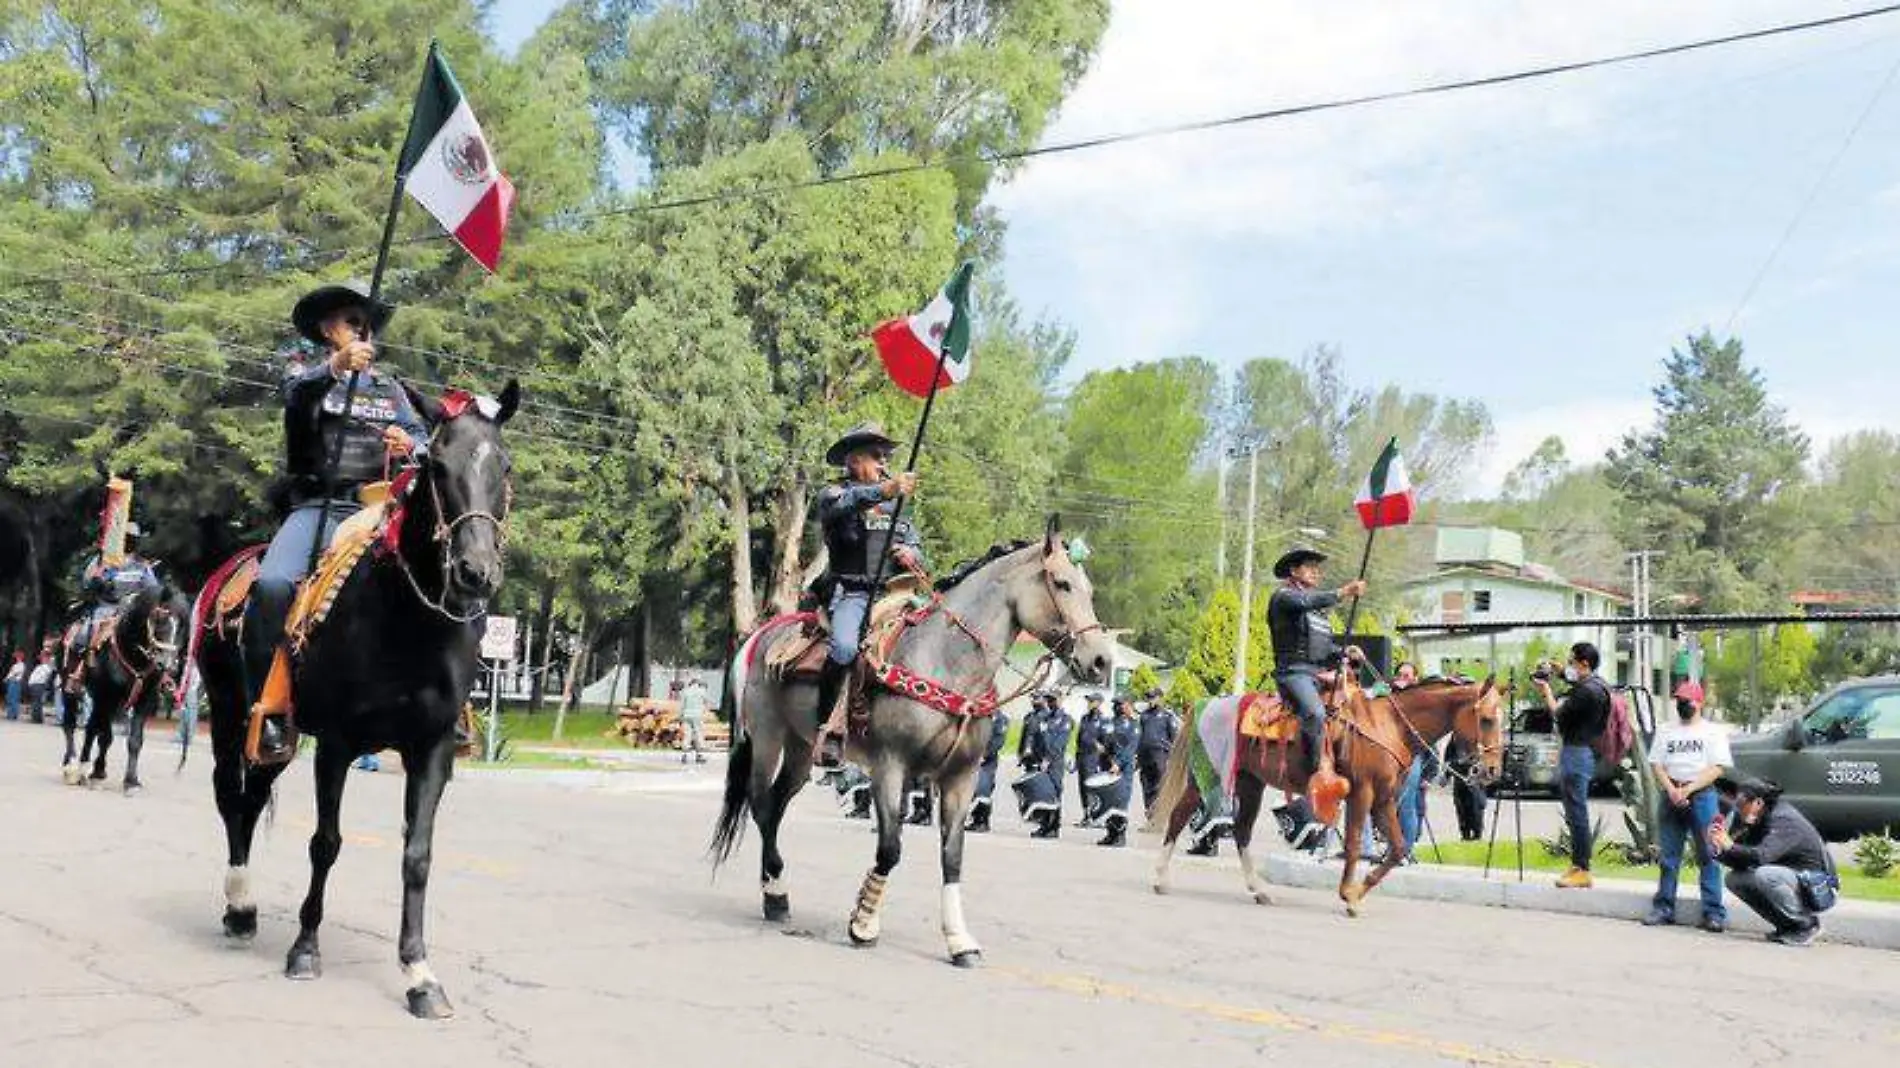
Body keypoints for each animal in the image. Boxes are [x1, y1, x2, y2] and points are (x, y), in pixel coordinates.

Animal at [61, 577, 190, 786]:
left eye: (182, 625)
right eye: (160, 618)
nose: (168, 665)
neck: (132, 653)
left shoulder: (143, 700)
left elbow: (134, 740)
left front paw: (130, 780)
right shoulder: (107, 696)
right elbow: (106, 736)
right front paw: (98, 770)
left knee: (91, 728)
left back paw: (84, 764)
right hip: (70, 688)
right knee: (70, 724)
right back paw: (71, 764)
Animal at [192, 376, 520, 1010]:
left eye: (505, 464)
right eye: (436, 464)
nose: (475, 572)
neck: (408, 618)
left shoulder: (431, 749)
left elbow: (417, 855)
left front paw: (419, 973)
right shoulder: (339, 742)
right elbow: (326, 841)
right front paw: (305, 949)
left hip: (279, 734)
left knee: (251, 797)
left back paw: (244, 909)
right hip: (228, 710)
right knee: (229, 796)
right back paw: (239, 904)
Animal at [714, 516, 1109, 965]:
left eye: (1089, 588)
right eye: (1061, 583)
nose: (1101, 660)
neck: (946, 660)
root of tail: (758, 635)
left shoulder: (960, 778)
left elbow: (952, 857)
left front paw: (959, 940)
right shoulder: (890, 766)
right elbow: (890, 848)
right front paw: (863, 923)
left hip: (801, 747)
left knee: (777, 806)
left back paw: (773, 893)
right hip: (767, 737)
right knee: (762, 805)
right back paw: (777, 894)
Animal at [1147, 676, 1504, 912]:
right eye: (1487, 720)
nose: (1492, 771)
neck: (1388, 725)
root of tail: (1209, 703)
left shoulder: (1385, 798)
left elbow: (1398, 847)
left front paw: (1359, 892)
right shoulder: (1362, 793)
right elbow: (1354, 843)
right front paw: (1348, 893)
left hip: (1250, 782)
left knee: (1242, 830)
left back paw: (1259, 890)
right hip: (1209, 776)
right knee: (1179, 816)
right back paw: (1161, 879)